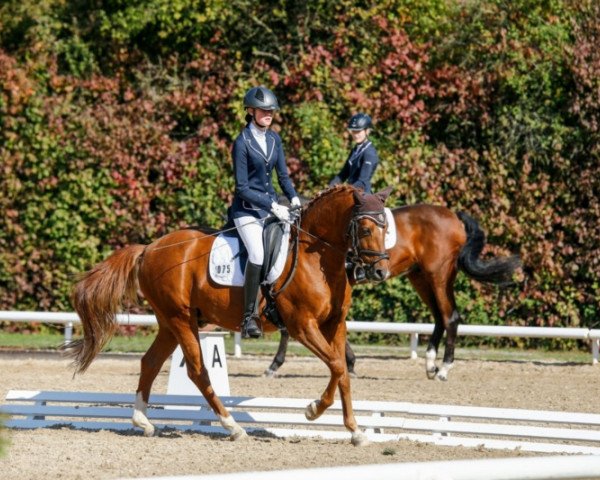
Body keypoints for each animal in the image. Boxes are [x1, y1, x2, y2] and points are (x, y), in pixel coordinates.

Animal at [64, 185, 394, 446]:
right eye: (366, 229)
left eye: (386, 229)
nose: (381, 272)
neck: (318, 258)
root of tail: (149, 248)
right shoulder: (302, 326)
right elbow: (337, 365)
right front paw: (313, 409)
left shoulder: (334, 325)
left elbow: (342, 373)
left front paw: (355, 431)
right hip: (181, 319)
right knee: (197, 371)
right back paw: (232, 426)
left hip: (169, 322)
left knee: (151, 363)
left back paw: (143, 421)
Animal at [264, 204, 520, 380]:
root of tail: (454, 215)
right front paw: (350, 362)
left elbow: (289, 328)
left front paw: (274, 365)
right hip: (420, 277)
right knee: (439, 317)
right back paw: (430, 364)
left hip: (439, 275)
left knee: (450, 317)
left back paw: (444, 369)